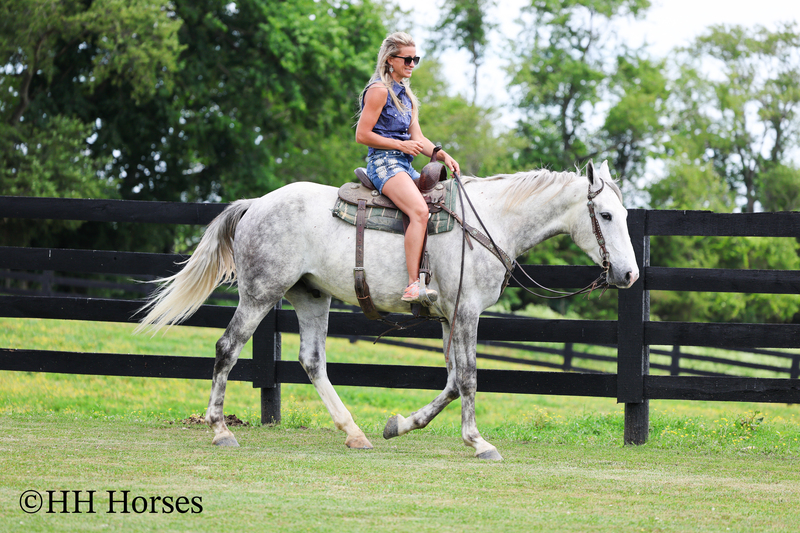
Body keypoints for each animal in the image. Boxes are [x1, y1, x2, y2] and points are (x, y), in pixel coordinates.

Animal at [135, 160, 639, 461]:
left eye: (626, 215)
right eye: (606, 216)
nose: (630, 275)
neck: (490, 222)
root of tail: (256, 204)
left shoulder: (449, 317)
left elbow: (451, 381)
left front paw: (399, 425)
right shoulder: (467, 312)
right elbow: (469, 377)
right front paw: (478, 441)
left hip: (310, 297)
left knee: (312, 362)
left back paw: (353, 431)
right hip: (260, 294)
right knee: (227, 348)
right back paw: (220, 429)